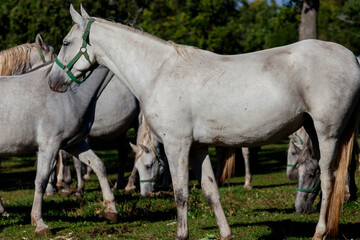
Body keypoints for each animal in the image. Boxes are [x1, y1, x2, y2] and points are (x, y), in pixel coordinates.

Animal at [49, 5, 360, 238]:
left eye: (65, 42)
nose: (53, 81)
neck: (158, 71)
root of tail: (351, 57)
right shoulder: (197, 147)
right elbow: (211, 191)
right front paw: (226, 234)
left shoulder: (176, 145)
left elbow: (180, 193)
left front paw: (181, 234)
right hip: (312, 130)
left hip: (328, 133)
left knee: (329, 178)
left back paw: (320, 232)